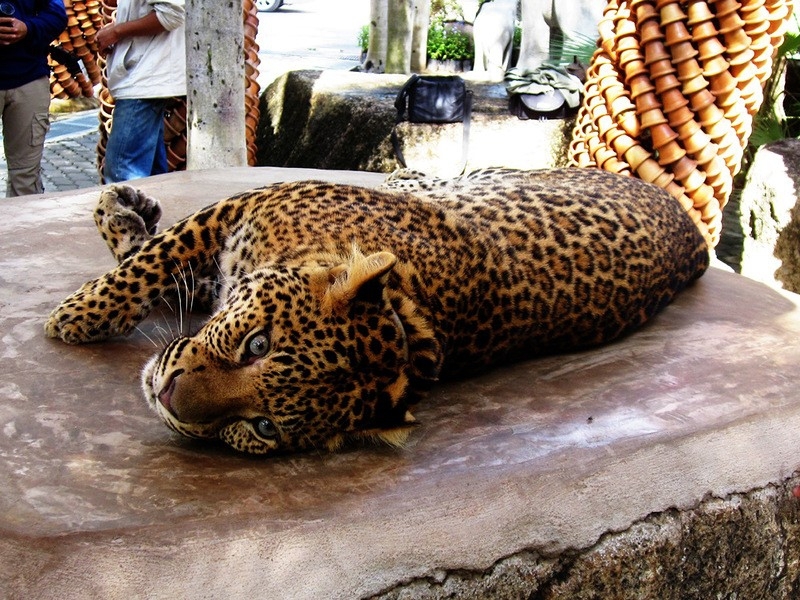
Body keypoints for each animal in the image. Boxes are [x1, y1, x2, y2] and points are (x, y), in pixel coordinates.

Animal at [43, 168, 708, 454]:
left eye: (263, 428)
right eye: (256, 344)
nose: (168, 397)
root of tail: (695, 232)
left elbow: (153, 265)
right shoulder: (237, 209)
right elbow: (151, 261)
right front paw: (78, 312)